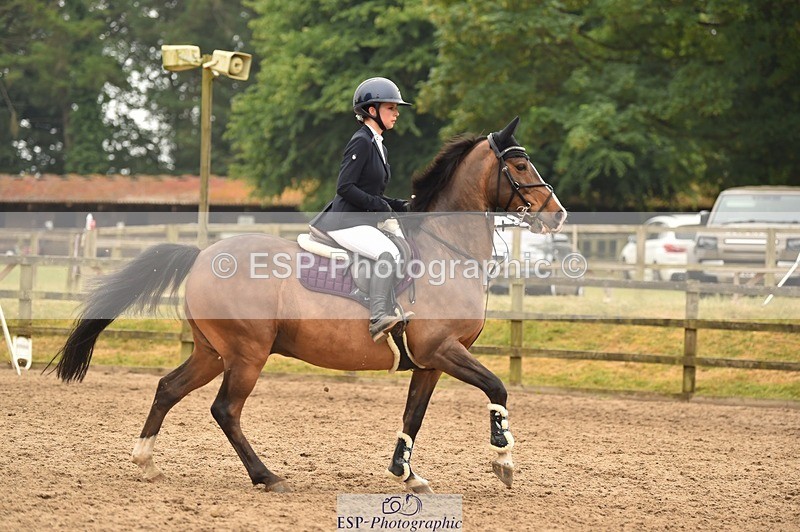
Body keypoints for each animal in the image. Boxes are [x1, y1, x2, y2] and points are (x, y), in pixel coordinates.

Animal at [51, 116, 567, 493]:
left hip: (212, 352)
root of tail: (202, 255)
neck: (448, 250)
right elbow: (497, 387)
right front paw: (503, 459)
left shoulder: (430, 362)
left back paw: (147, 462)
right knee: (225, 410)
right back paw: (266, 476)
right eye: (521, 167)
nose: (558, 214)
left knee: (168, 388)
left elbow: (413, 417)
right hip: (248, 353)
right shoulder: (443, 349)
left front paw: (407, 475)